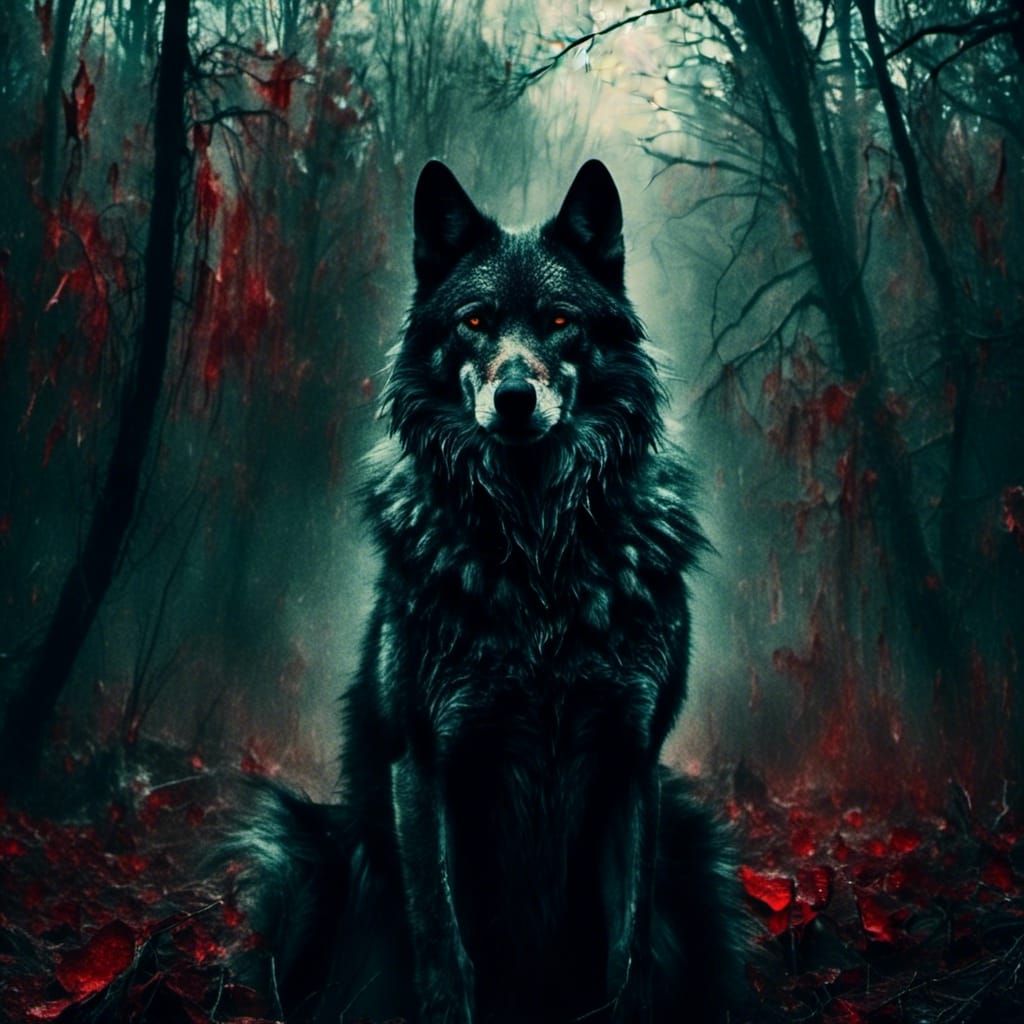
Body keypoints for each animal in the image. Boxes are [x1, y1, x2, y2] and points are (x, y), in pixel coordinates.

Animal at [230, 160, 745, 1023]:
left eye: (561, 321)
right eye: (475, 321)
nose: (513, 398)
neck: (539, 563)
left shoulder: (631, 763)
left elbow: (628, 958)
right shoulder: (422, 765)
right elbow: (445, 956)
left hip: (697, 849)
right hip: (306, 853)